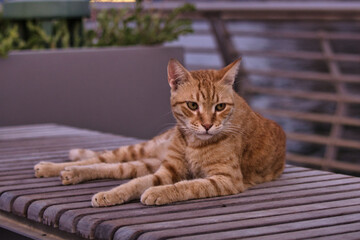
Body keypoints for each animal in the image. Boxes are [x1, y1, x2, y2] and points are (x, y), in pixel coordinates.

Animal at [34, 59, 286, 207]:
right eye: (192, 105)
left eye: (220, 107)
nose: (207, 125)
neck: (192, 143)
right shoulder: (168, 170)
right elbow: (135, 184)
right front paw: (112, 194)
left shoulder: (225, 179)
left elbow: (187, 185)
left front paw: (157, 193)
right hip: (143, 150)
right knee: (103, 160)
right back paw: (55, 167)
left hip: (148, 161)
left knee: (114, 167)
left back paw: (69, 171)